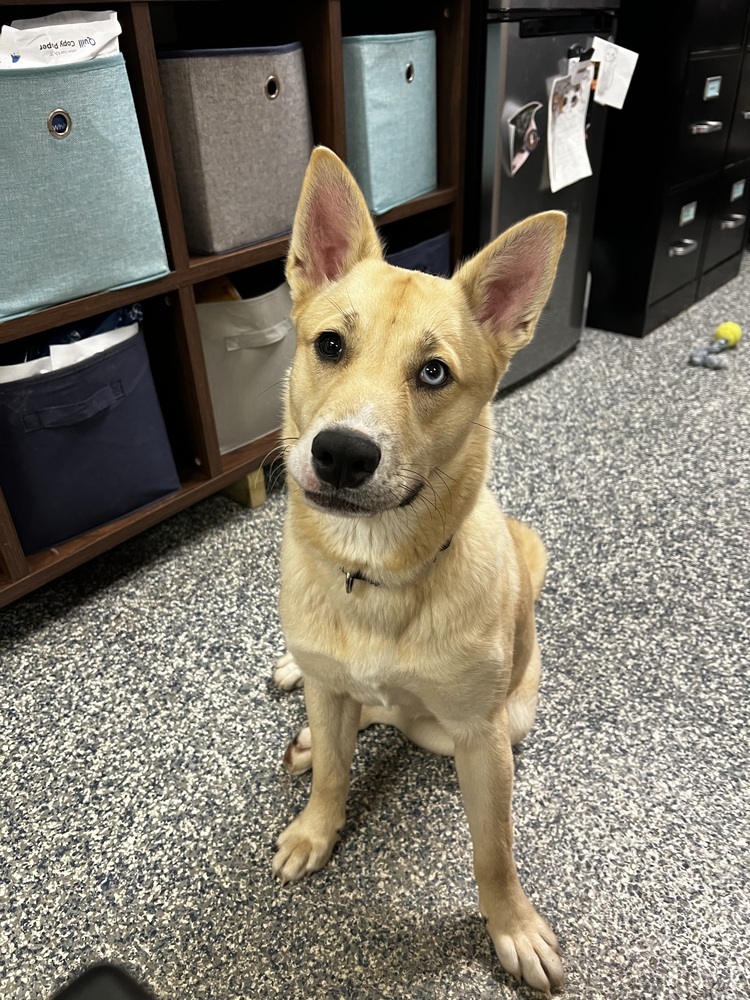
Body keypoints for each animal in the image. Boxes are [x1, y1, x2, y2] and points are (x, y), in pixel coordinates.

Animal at [268, 146, 564, 992]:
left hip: (503, 718)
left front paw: (510, 928)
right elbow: (336, 775)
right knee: (345, 701)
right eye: (330, 346)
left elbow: (494, 850)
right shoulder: (336, 671)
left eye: (433, 373)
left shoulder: (480, 739)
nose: (341, 453)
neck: (370, 574)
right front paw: (318, 827)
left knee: (394, 715)